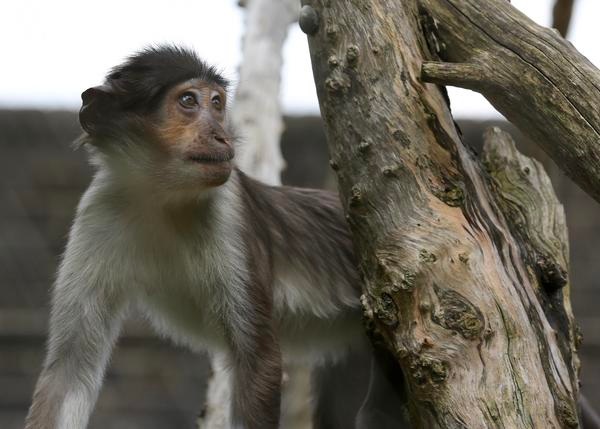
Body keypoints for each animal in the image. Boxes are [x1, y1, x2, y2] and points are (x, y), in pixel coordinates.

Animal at [24, 45, 408, 428]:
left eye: (217, 102)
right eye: (188, 101)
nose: (221, 136)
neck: (162, 199)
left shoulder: (230, 210)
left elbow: (259, 360)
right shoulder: (98, 209)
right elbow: (69, 373)